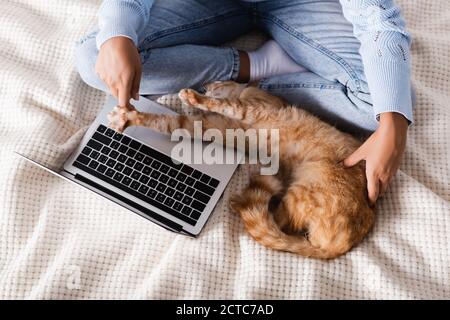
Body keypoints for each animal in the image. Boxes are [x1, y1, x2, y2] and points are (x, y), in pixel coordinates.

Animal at [107, 81, 374, 258]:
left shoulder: (249, 108)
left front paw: (193, 97)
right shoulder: (214, 126)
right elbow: (172, 122)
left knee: (274, 223)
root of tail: (342, 247)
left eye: (218, 80)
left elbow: (222, 103)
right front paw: (129, 118)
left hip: (304, 190)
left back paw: (240, 203)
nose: (206, 84)